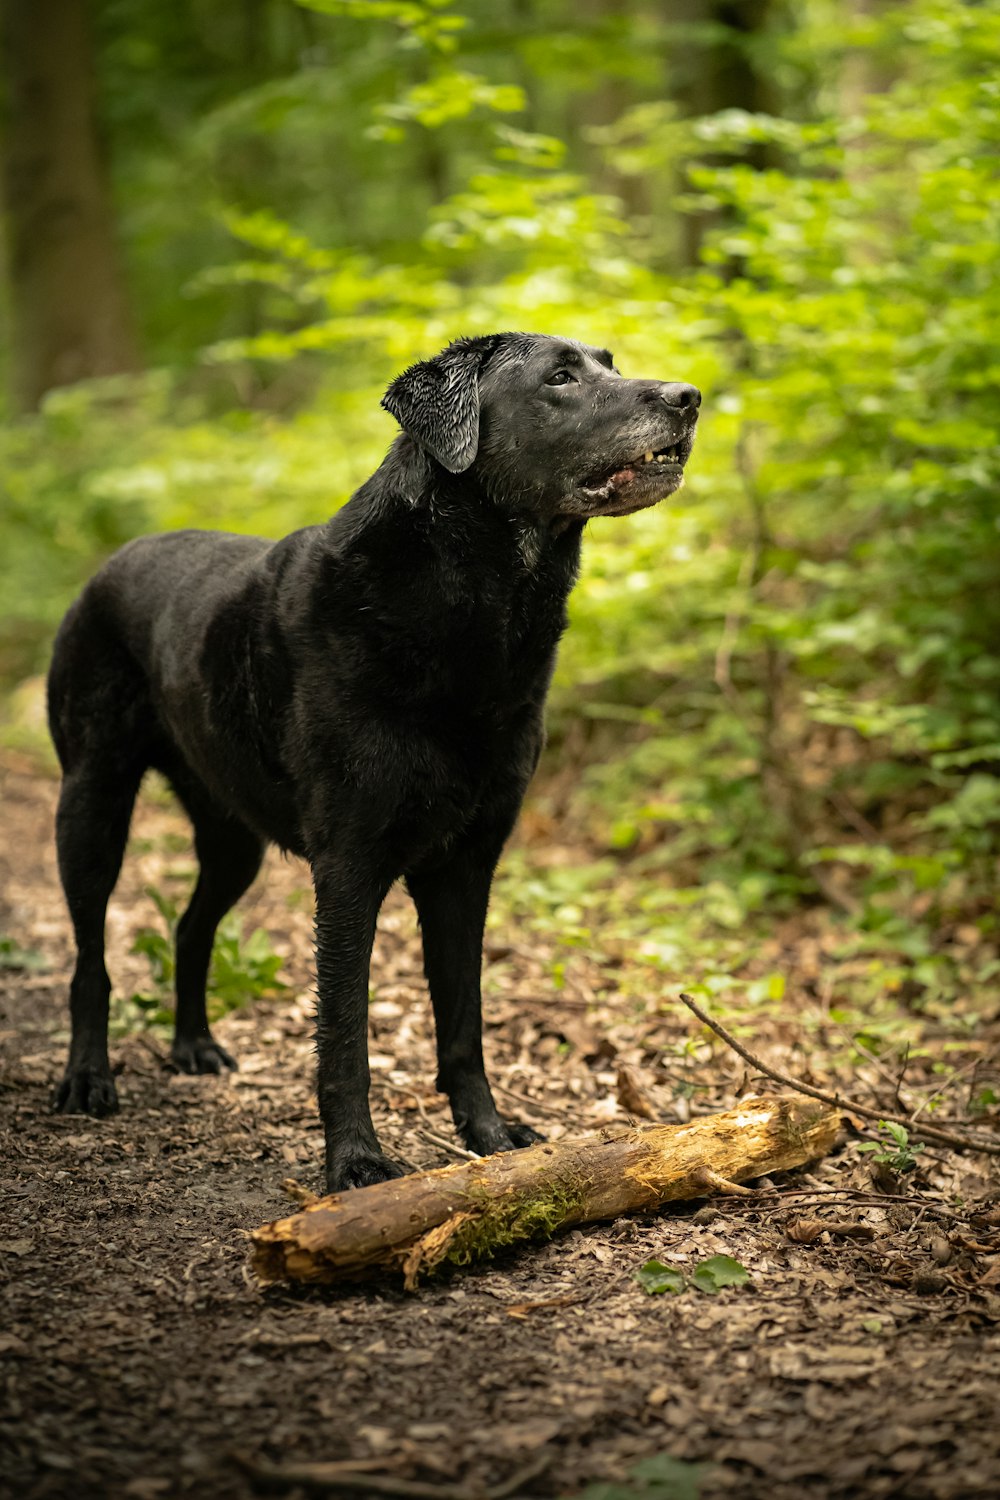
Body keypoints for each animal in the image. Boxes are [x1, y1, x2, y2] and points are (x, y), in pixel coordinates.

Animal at [48, 334, 704, 1188]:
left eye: (609, 362)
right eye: (560, 378)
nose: (690, 396)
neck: (480, 609)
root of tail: (106, 563)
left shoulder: (467, 865)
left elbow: (463, 1022)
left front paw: (490, 1136)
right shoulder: (349, 866)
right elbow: (344, 1034)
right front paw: (357, 1161)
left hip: (232, 838)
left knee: (191, 928)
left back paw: (193, 1045)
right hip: (90, 803)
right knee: (90, 957)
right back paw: (87, 1078)